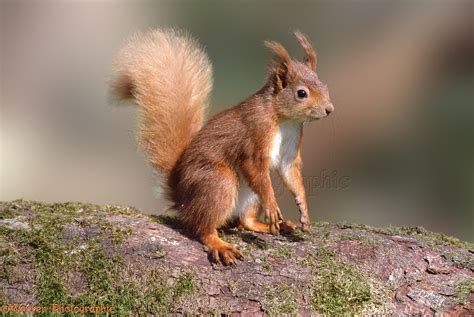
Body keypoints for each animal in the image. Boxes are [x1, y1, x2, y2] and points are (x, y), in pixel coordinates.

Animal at [110, 28, 334, 264]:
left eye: (324, 86)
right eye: (301, 93)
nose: (329, 109)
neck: (284, 119)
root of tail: (183, 198)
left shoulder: (290, 151)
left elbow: (291, 174)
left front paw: (303, 210)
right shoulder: (255, 134)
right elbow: (253, 165)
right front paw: (272, 206)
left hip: (249, 196)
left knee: (245, 222)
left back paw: (277, 226)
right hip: (219, 183)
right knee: (202, 227)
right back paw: (220, 244)